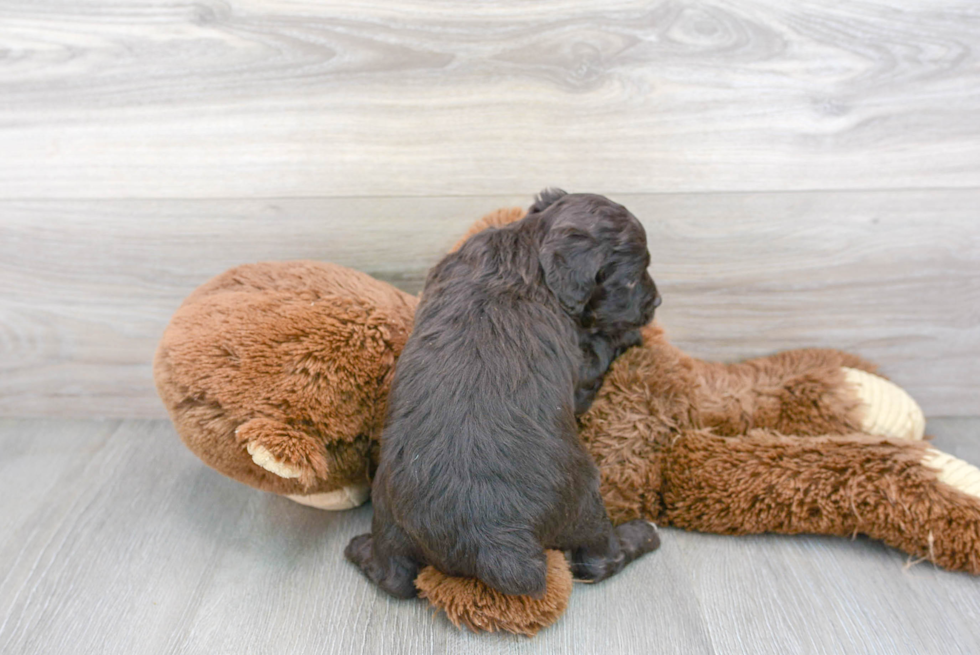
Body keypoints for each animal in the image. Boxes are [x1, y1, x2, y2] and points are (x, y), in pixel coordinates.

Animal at [348, 190, 664, 600]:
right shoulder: (580, 372)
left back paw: (358, 550)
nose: (656, 303)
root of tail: (495, 542)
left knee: (395, 579)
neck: (526, 249)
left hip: (391, 521)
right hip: (585, 505)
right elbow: (598, 354)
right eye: (631, 279)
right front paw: (628, 336)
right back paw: (643, 533)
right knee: (597, 561)